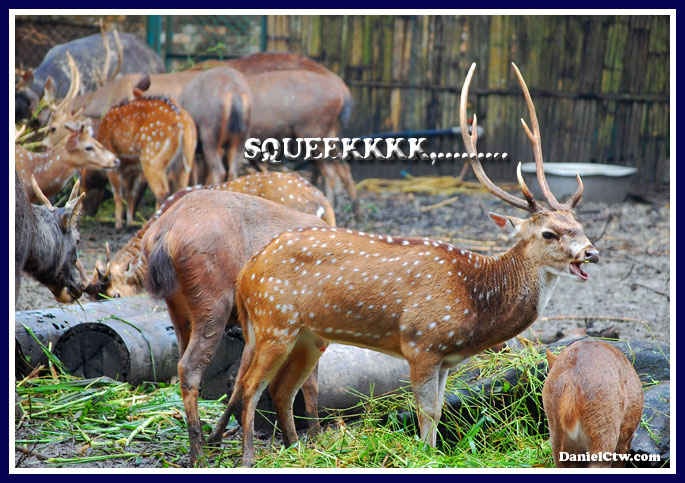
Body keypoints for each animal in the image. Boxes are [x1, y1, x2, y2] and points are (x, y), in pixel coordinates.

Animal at [97, 93, 197, 231]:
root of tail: (183, 123)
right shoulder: (134, 170)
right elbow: (130, 193)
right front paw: (129, 223)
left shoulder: (114, 164)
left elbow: (118, 193)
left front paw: (118, 226)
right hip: (183, 162)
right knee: (181, 188)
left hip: (152, 159)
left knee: (162, 191)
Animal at [141, 189, 336, 466]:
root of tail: (164, 235)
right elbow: (309, 385)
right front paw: (314, 437)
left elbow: (240, 380)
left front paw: (218, 437)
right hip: (213, 301)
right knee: (189, 367)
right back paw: (198, 456)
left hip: (178, 310)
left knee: (184, 363)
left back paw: (203, 443)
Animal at [218, 62, 600, 466]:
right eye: (549, 233)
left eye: (579, 225)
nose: (591, 252)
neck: (473, 300)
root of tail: (246, 274)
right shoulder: (422, 342)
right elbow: (426, 411)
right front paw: (423, 454)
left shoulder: (446, 359)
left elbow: (438, 409)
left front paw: (431, 452)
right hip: (274, 319)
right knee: (251, 386)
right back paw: (248, 457)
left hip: (307, 334)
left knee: (282, 389)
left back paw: (298, 450)